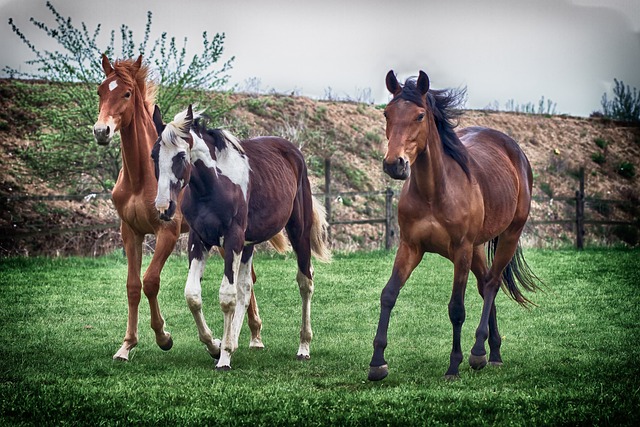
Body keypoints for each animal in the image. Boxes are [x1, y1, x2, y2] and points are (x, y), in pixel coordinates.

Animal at [92, 54, 270, 362]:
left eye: (126, 93)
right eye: (101, 91)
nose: (102, 131)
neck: (141, 178)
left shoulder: (168, 232)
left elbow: (151, 281)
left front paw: (164, 337)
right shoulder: (130, 232)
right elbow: (133, 286)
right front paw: (126, 345)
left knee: (248, 279)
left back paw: (254, 337)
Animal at [150, 105, 330, 370]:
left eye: (181, 156)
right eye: (154, 155)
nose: (164, 208)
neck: (212, 187)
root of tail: (293, 151)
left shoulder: (233, 238)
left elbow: (226, 296)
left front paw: (223, 357)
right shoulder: (199, 239)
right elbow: (193, 295)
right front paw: (215, 345)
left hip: (298, 231)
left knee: (305, 280)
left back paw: (303, 347)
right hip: (248, 245)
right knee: (245, 288)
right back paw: (234, 342)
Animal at [368, 70, 544, 382]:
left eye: (419, 115)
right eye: (387, 114)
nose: (394, 164)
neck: (434, 192)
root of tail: (515, 151)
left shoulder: (461, 250)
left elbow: (456, 308)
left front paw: (454, 365)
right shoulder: (410, 247)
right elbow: (388, 295)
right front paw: (377, 362)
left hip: (507, 237)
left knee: (492, 284)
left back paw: (478, 351)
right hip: (476, 249)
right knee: (484, 284)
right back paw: (493, 352)